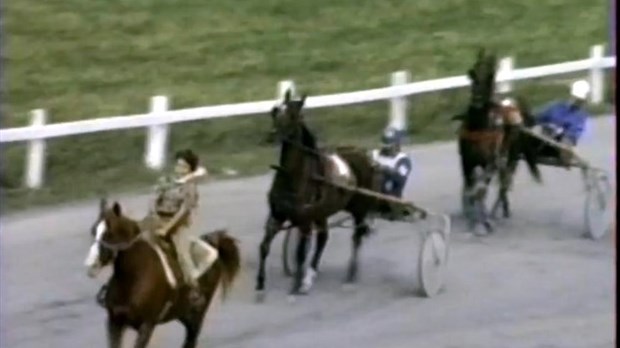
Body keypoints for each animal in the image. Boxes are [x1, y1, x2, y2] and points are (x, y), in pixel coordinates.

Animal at [86, 198, 241, 348]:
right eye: (93, 230)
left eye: (109, 233)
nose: (91, 264)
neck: (132, 279)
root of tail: (212, 243)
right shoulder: (114, 323)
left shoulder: (146, 325)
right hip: (183, 313)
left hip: (197, 314)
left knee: (191, 340)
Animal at [254, 91, 380, 300]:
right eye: (275, 110)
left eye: (293, 116)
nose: (271, 136)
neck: (293, 176)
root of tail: (362, 154)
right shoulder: (277, 215)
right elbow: (264, 246)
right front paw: (260, 286)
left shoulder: (304, 220)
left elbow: (299, 253)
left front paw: (295, 287)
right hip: (323, 210)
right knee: (323, 237)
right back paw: (310, 275)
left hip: (358, 208)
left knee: (356, 237)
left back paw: (350, 277)